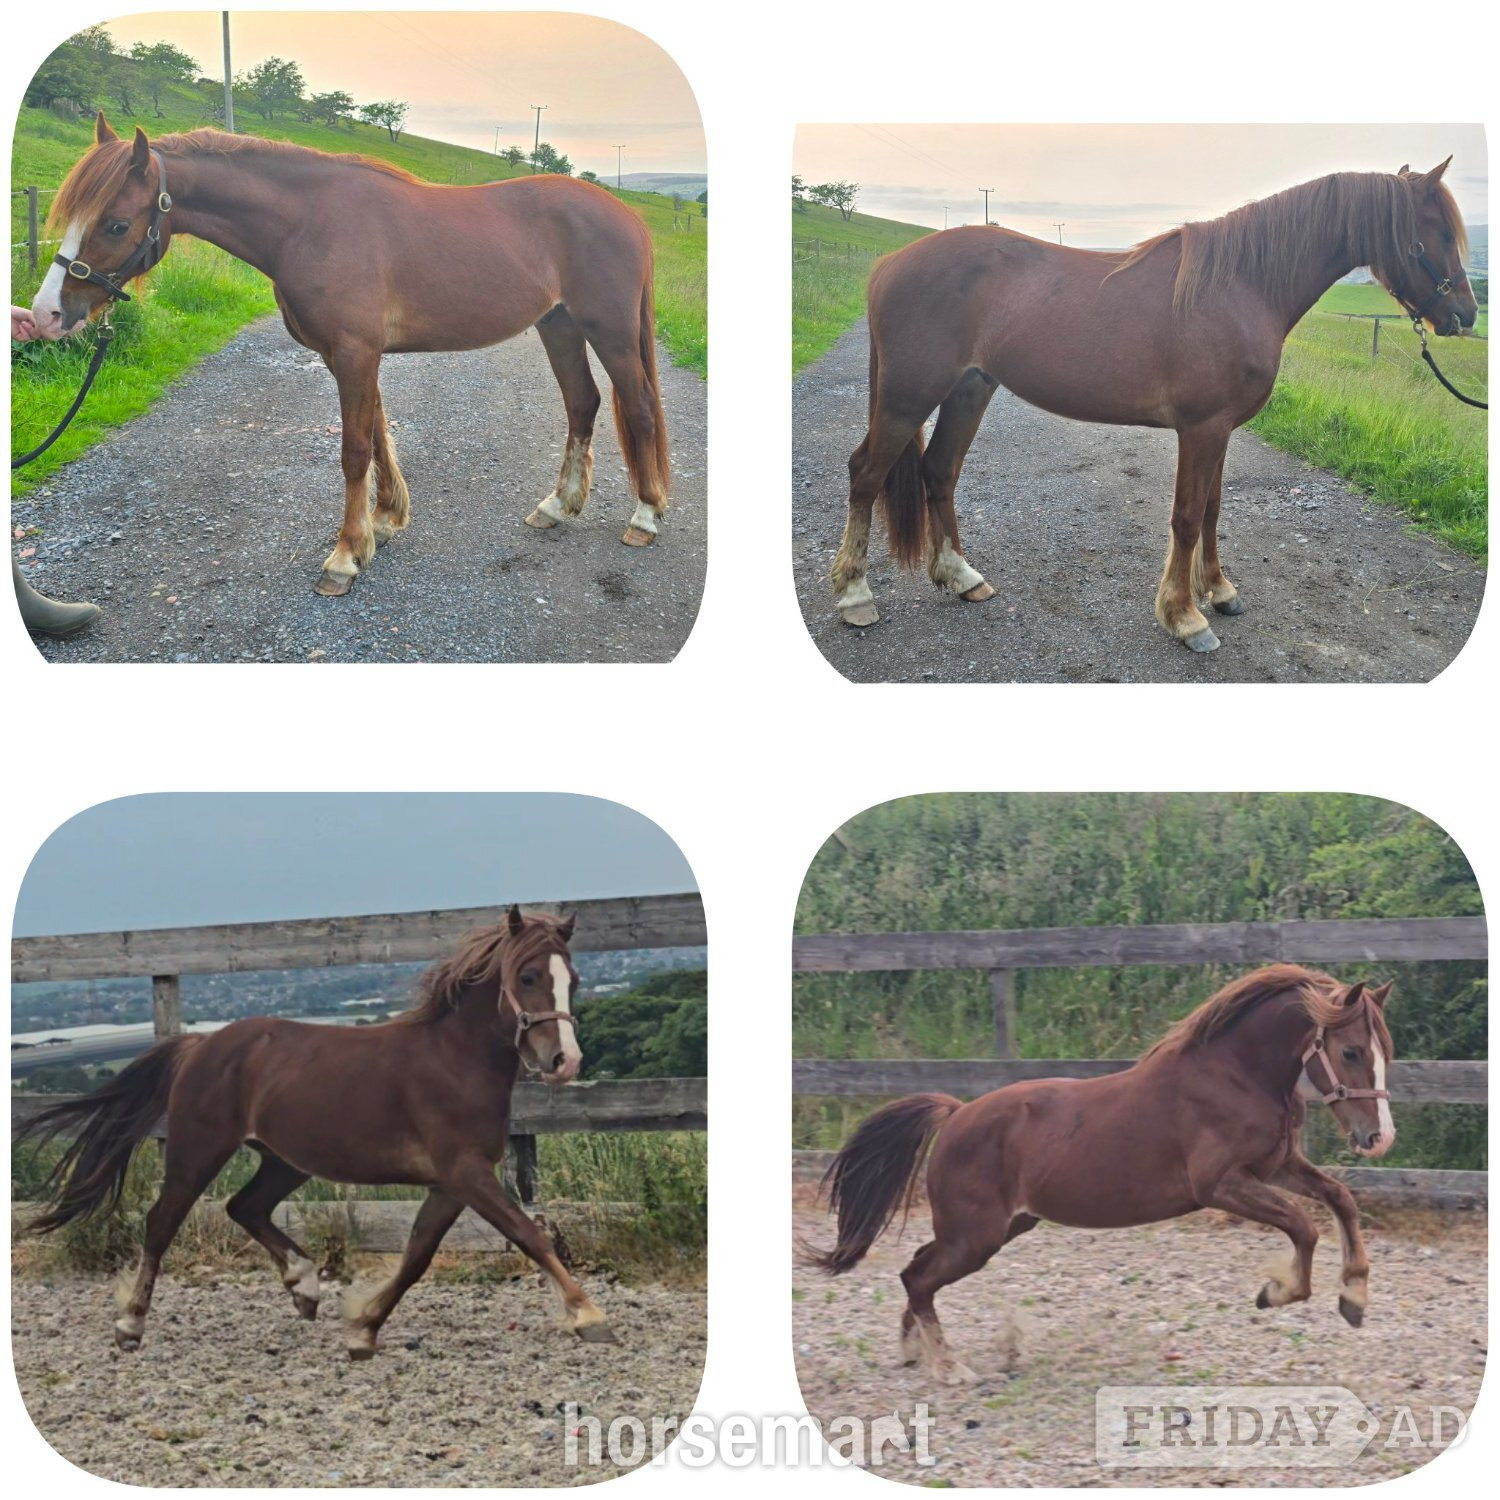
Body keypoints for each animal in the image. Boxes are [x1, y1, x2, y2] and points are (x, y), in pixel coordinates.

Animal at [18, 906, 617, 1359]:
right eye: (528, 977)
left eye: (573, 980)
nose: (565, 1061)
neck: (455, 1062)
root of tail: (201, 1044)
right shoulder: (465, 1173)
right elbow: (528, 1233)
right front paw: (589, 1316)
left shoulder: (450, 1184)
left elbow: (418, 1256)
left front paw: (363, 1330)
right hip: (198, 1150)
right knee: (162, 1221)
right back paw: (131, 1325)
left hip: (285, 1159)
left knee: (245, 1207)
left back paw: (304, 1287)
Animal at [29, 115, 670, 596]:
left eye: (116, 224)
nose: (46, 315)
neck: (310, 223)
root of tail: (628, 216)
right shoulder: (350, 356)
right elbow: (380, 435)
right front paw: (381, 525)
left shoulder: (356, 353)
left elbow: (355, 449)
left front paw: (343, 558)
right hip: (557, 324)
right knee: (582, 403)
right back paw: (558, 506)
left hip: (609, 331)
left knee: (636, 405)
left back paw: (645, 516)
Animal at [807, 965, 1395, 1385]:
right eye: (1350, 1051)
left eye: (1384, 1051)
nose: (1379, 1138)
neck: (1234, 1076)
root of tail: (955, 1115)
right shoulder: (1222, 1185)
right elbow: (1304, 1227)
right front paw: (1276, 1293)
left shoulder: (1275, 1167)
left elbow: (1339, 1199)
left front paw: (1354, 1299)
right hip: (975, 1237)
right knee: (918, 1278)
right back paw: (951, 1369)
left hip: (998, 1228)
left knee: (916, 1271)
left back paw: (915, 1352)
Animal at [831, 160, 1477, 651]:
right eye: (1440, 233)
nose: (1465, 316)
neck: (1240, 286)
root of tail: (889, 264)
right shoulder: (1201, 428)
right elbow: (1187, 516)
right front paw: (1185, 617)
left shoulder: (1222, 429)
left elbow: (1213, 509)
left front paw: (1219, 591)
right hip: (907, 397)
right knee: (866, 474)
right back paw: (855, 595)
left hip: (970, 389)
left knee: (939, 471)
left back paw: (963, 578)